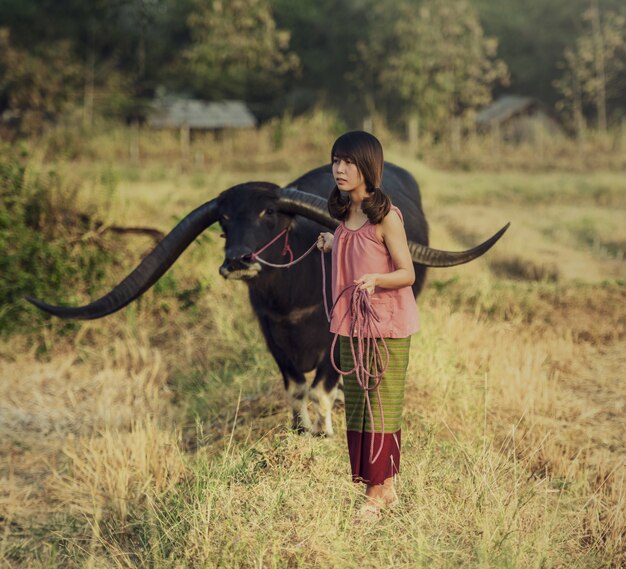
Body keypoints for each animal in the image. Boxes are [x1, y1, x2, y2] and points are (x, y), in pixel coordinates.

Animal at [29, 163, 508, 434]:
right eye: (223, 220)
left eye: (269, 212)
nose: (238, 260)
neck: (292, 300)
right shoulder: (271, 335)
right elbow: (296, 389)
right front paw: (299, 428)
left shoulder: (338, 339)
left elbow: (320, 389)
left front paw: (325, 431)